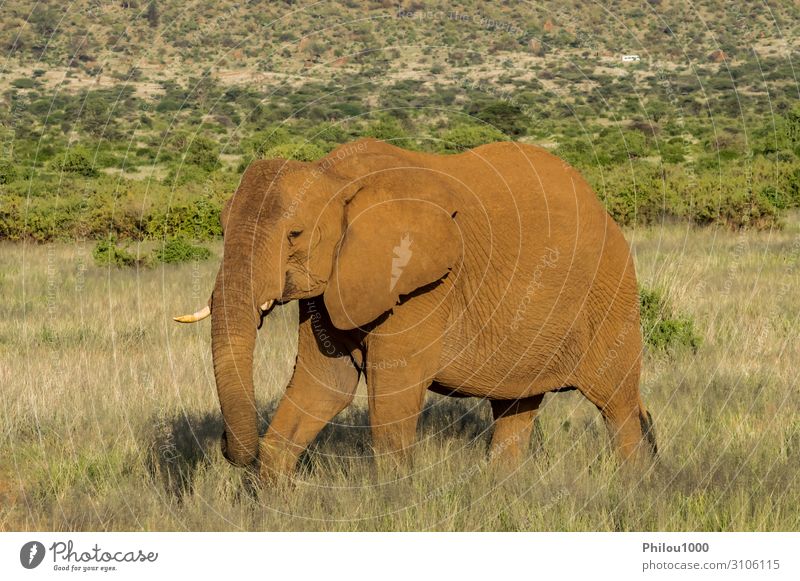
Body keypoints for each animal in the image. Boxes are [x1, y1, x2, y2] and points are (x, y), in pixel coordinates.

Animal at [173, 138, 656, 482]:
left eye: (295, 234)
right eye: (220, 226)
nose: (223, 443)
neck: (334, 176)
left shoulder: (423, 284)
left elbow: (391, 398)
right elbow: (323, 387)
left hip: (611, 295)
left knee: (617, 405)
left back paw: (633, 484)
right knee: (515, 407)